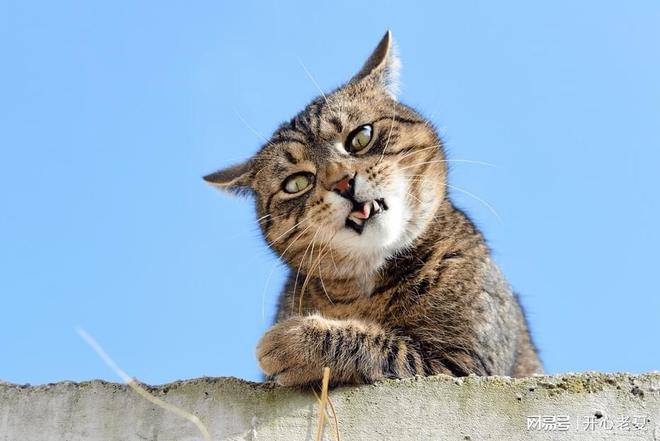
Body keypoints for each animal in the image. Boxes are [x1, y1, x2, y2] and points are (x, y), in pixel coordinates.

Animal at [205, 31, 540, 384]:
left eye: (360, 137)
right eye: (296, 183)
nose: (343, 182)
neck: (367, 288)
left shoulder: (464, 365)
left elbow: (393, 351)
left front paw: (297, 340)